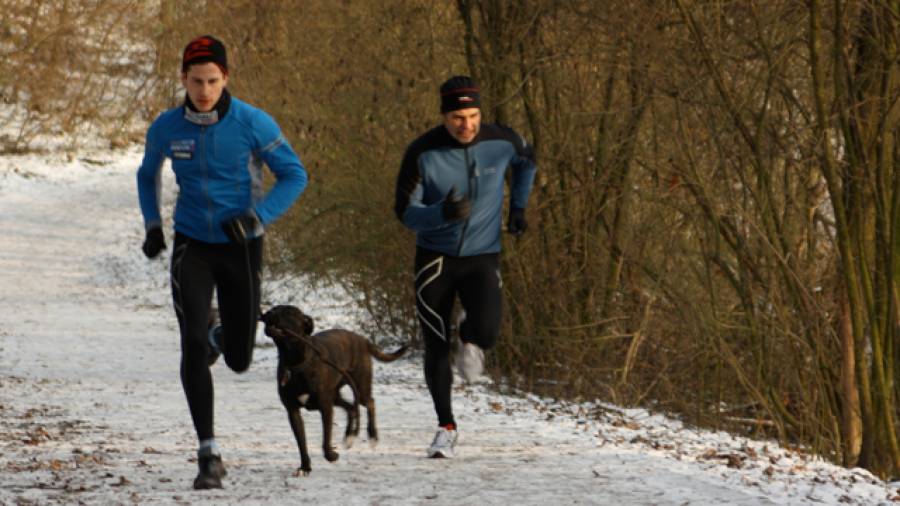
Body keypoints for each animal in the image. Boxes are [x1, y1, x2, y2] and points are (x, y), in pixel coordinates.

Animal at [256, 304, 404, 478]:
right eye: (274, 308)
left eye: (289, 312)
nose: (269, 313)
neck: (295, 363)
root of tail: (362, 339)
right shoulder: (293, 411)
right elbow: (302, 443)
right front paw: (305, 467)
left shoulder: (325, 407)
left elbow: (326, 440)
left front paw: (331, 455)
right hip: (335, 395)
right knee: (351, 408)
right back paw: (349, 436)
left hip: (359, 388)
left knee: (369, 403)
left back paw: (372, 436)